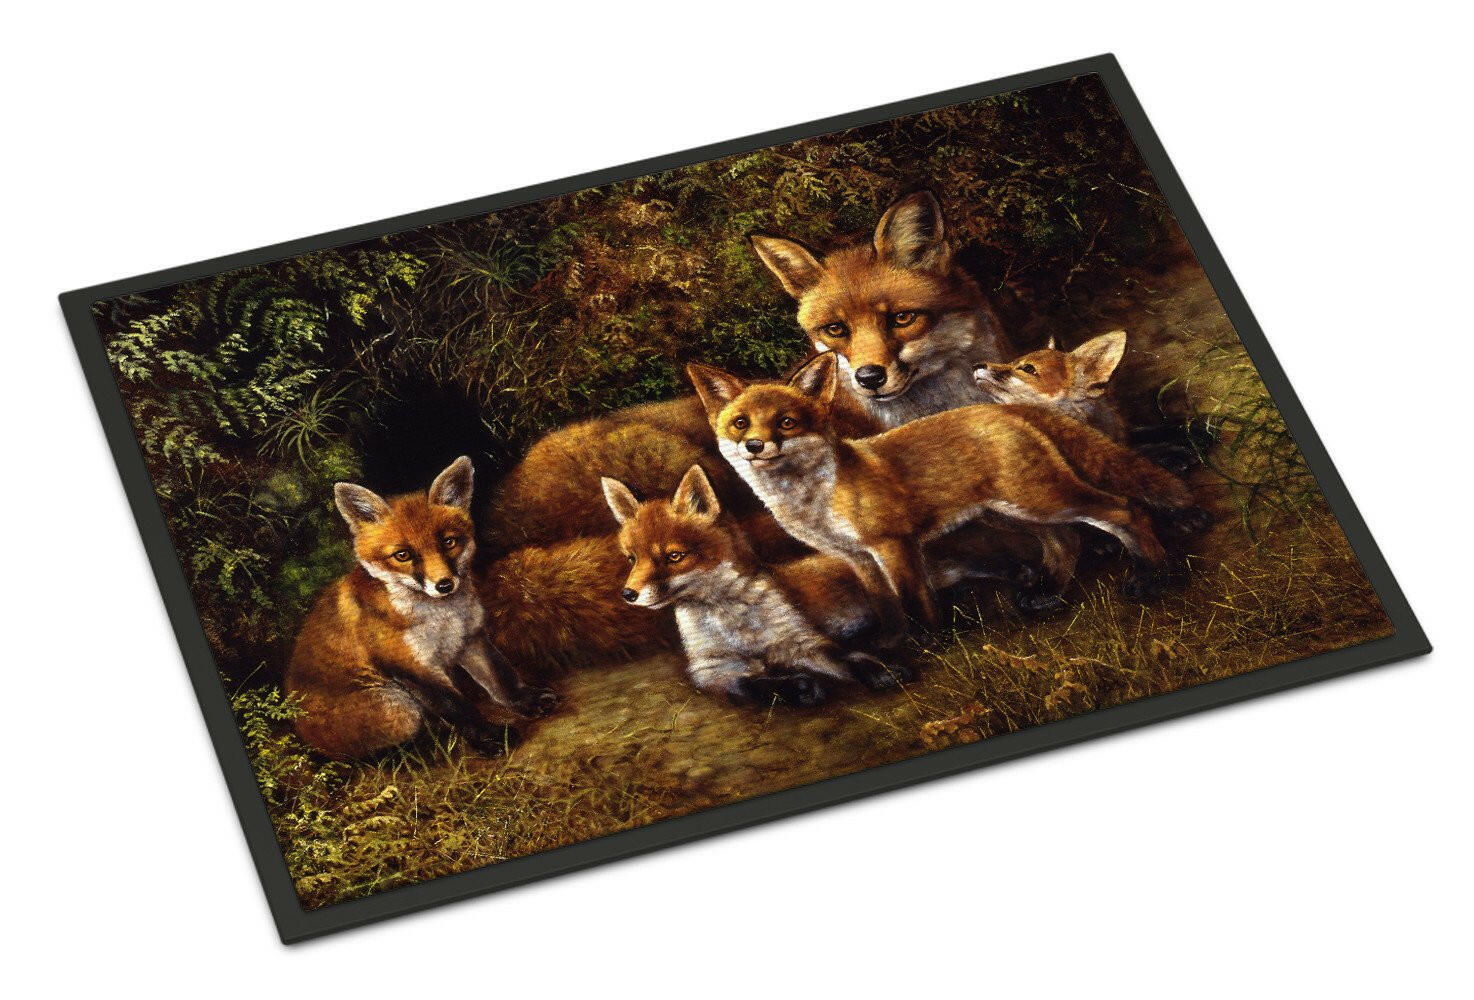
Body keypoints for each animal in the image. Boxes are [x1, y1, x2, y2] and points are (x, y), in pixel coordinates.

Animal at [285, 457, 555, 760]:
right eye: (403, 555)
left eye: (448, 542)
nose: (444, 585)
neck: (444, 618)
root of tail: (300, 732)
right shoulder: (412, 668)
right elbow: (459, 708)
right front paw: (490, 738)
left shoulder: (471, 639)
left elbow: (500, 677)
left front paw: (525, 701)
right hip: (399, 708)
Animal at [689, 353, 1205, 630]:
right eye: (741, 424)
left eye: (786, 423)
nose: (755, 446)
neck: (815, 499)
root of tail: (1005, 409)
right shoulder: (856, 559)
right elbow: (885, 608)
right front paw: (899, 649)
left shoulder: (892, 545)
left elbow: (916, 602)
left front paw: (932, 645)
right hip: (1014, 512)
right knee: (1067, 540)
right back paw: (1047, 594)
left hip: (1042, 499)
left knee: (1126, 510)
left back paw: (1153, 576)